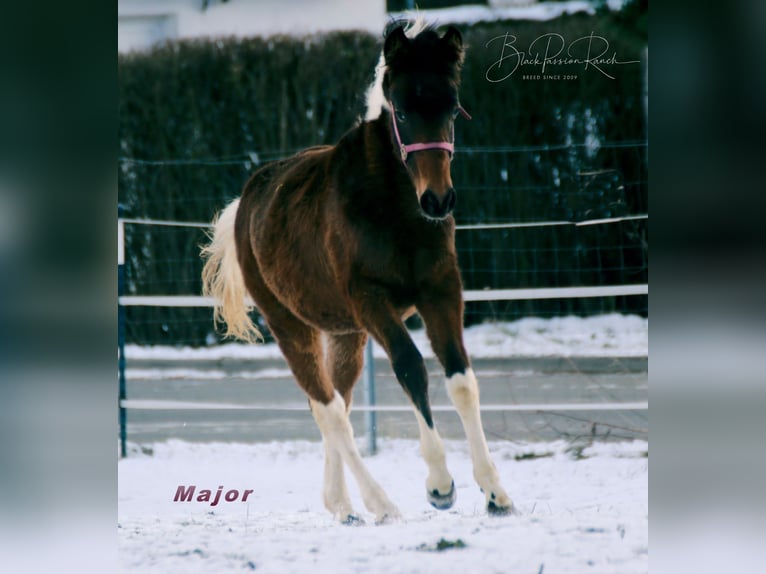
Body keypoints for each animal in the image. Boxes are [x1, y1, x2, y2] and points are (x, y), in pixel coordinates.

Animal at [201, 21, 512, 523]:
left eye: (453, 107)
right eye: (402, 111)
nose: (438, 200)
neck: (397, 212)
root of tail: (245, 205)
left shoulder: (442, 291)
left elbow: (461, 380)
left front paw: (495, 493)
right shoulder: (372, 301)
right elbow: (411, 368)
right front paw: (441, 486)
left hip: (345, 334)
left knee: (336, 406)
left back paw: (342, 505)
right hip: (292, 326)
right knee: (328, 409)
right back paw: (380, 504)